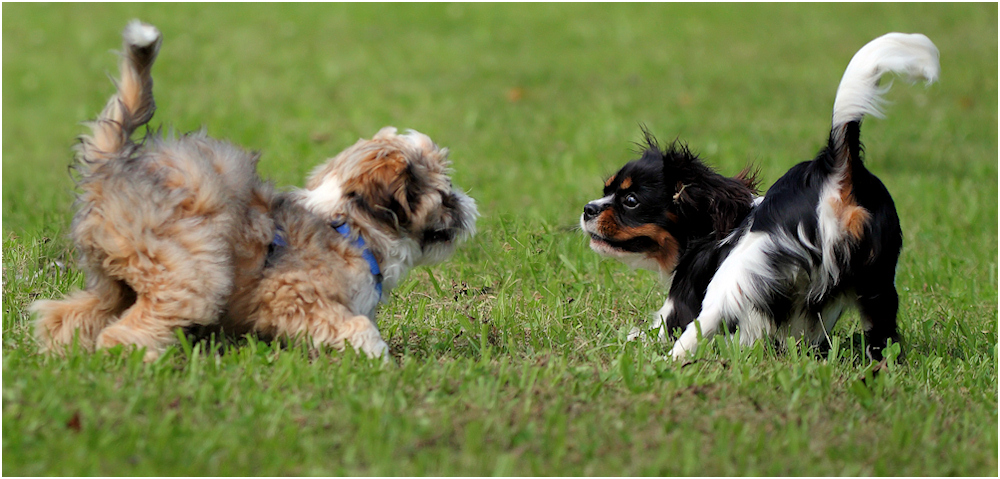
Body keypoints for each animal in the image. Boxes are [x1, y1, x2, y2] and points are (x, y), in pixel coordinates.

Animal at [584, 32, 940, 360]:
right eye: (607, 191)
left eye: (630, 201)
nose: (588, 209)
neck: (712, 224)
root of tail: (833, 168)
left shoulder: (682, 300)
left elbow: (654, 330)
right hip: (877, 285)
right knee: (884, 339)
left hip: (734, 278)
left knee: (696, 331)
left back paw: (672, 361)